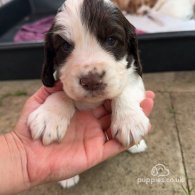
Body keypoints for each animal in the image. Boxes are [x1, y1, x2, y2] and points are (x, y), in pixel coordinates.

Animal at [27, 0, 149, 189]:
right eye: (65, 46)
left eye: (111, 40)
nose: (91, 81)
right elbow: (61, 94)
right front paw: (48, 118)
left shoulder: (134, 74)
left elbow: (124, 90)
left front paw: (129, 122)